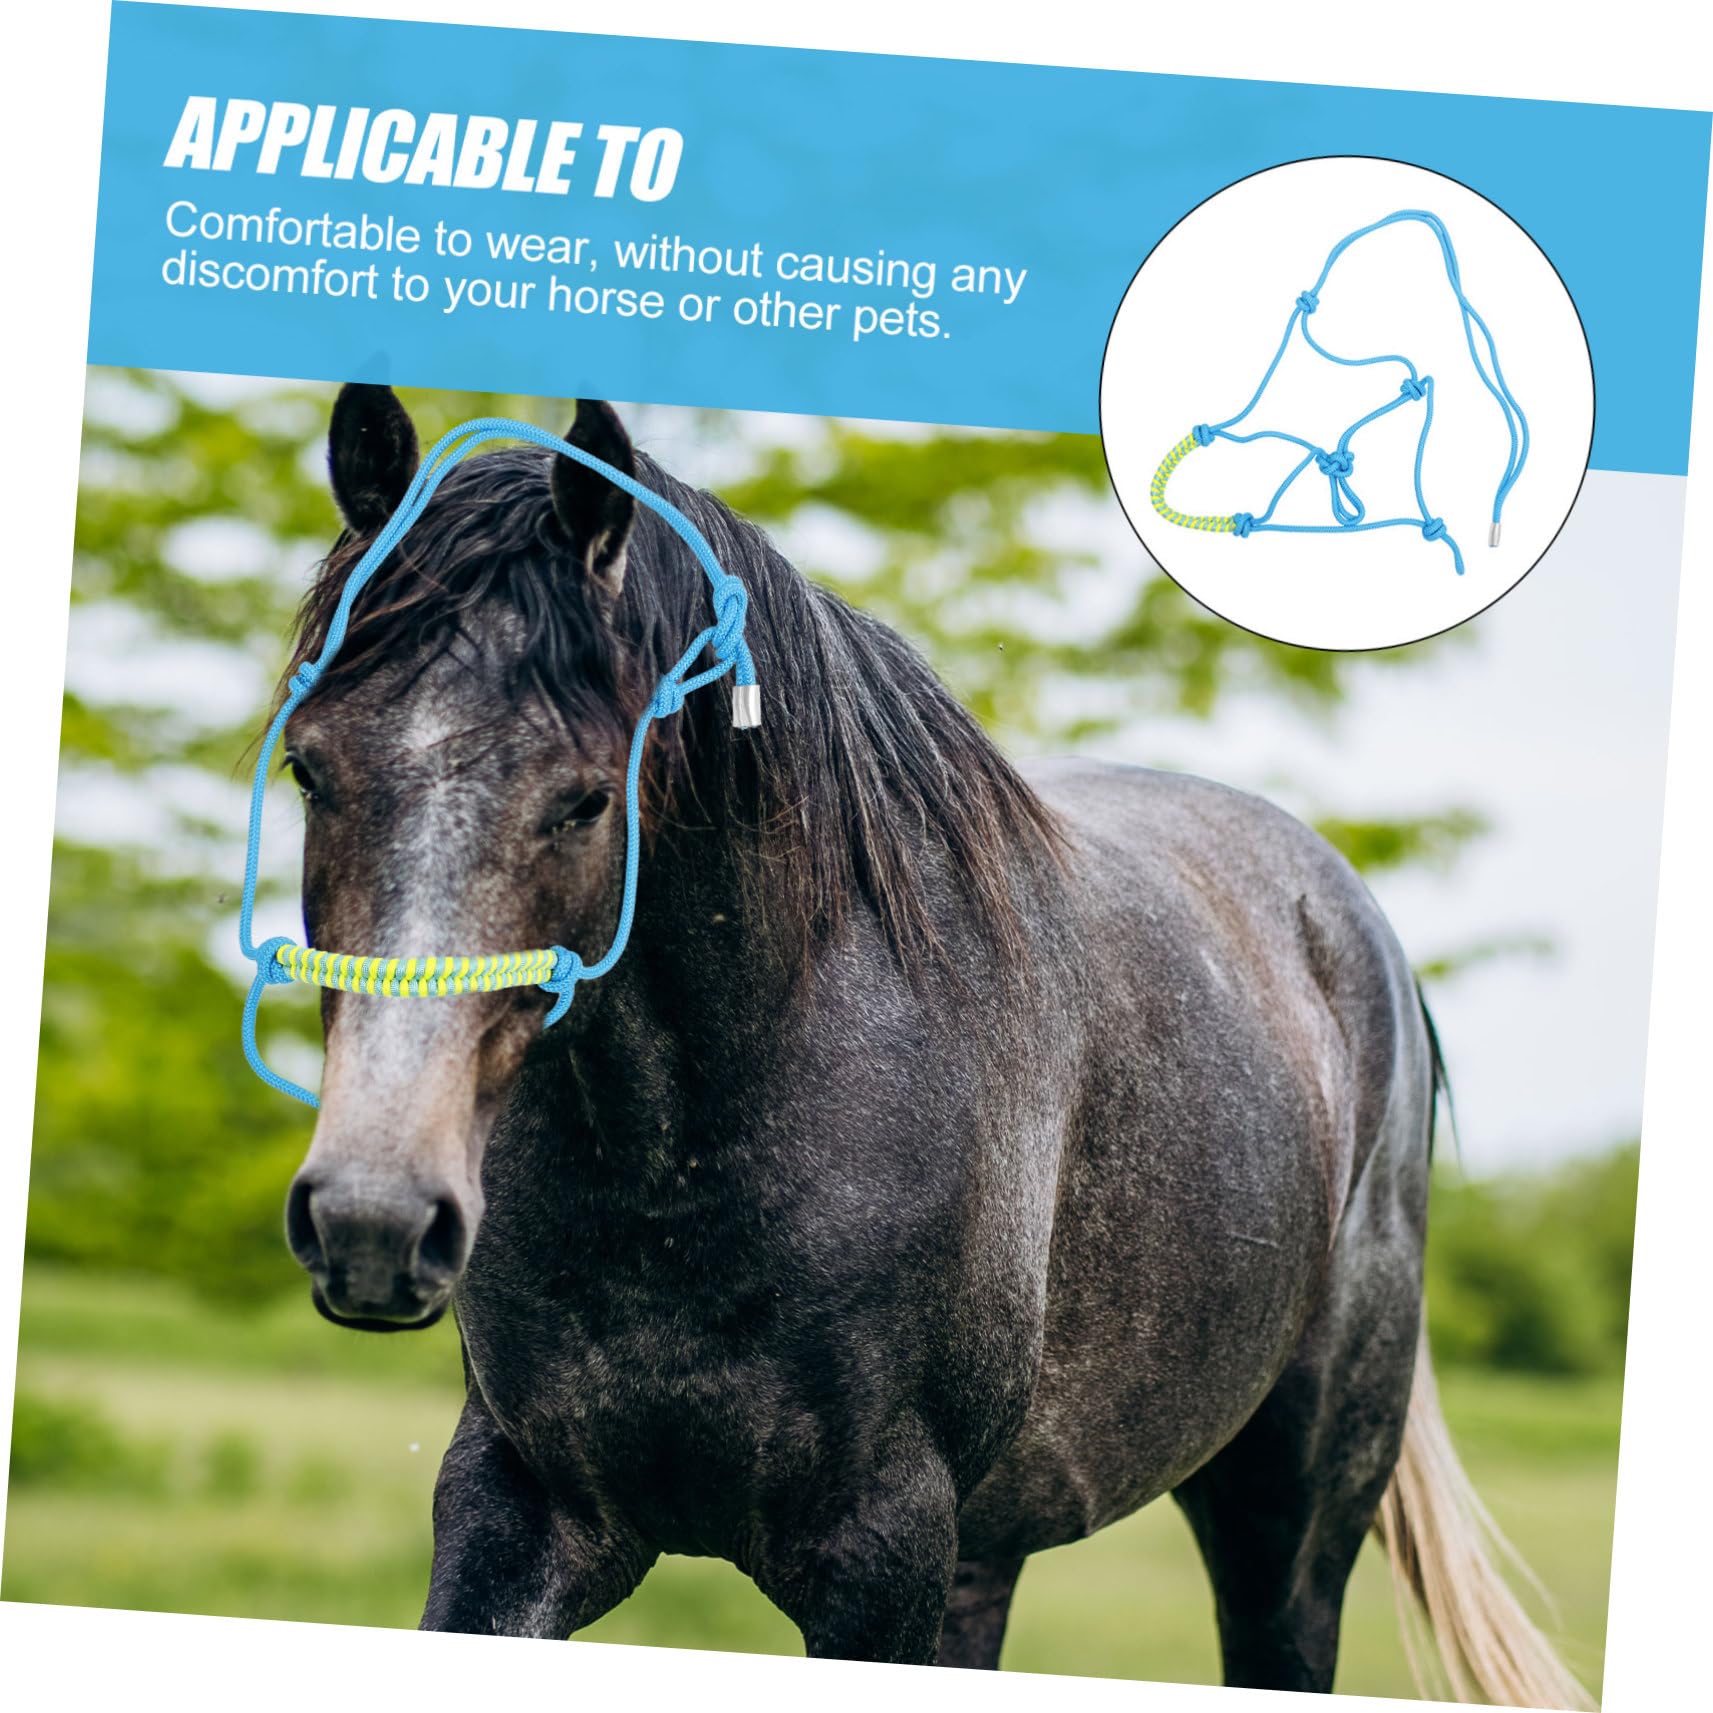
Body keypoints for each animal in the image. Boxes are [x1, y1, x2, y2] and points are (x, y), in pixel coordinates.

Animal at [271, 384, 1586, 1704]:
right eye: (308, 768)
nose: (376, 1218)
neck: (690, 1162)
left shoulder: (881, 1550)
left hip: (1288, 1532)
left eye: (589, 798)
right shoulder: (523, 1510)